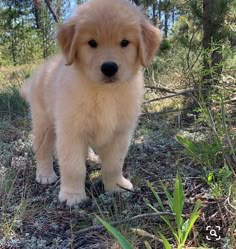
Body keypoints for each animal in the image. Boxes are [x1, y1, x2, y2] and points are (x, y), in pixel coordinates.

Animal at [20, 0, 162, 206]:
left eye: (124, 42)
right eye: (92, 43)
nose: (109, 68)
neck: (104, 93)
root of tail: (39, 72)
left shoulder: (120, 133)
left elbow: (114, 164)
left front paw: (117, 186)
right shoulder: (71, 131)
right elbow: (73, 167)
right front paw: (72, 195)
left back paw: (91, 157)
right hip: (43, 123)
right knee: (42, 150)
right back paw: (45, 173)